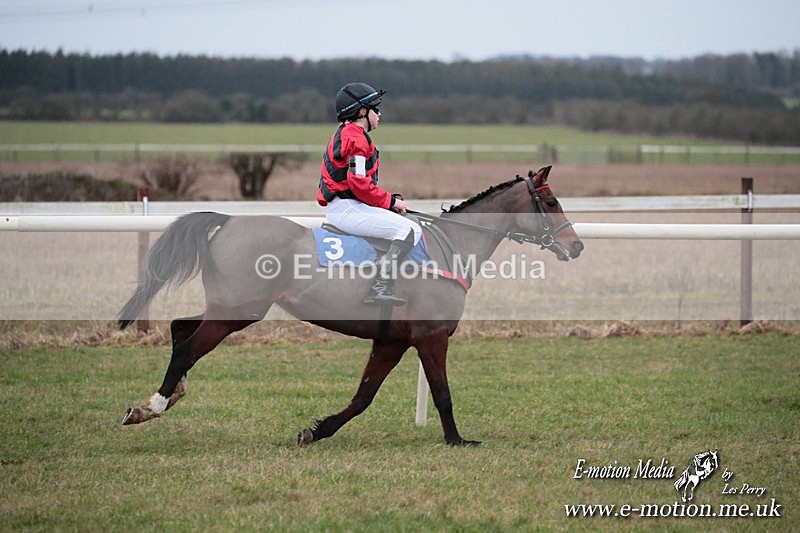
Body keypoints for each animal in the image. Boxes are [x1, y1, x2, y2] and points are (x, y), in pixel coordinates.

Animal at [117, 166, 583, 446]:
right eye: (552, 202)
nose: (576, 246)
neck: (451, 246)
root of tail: (230, 221)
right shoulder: (431, 337)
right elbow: (442, 393)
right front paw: (457, 440)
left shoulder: (392, 341)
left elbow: (364, 395)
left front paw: (318, 430)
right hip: (238, 312)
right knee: (186, 348)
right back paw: (151, 407)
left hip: (228, 309)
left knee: (180, 328)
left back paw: (167, 396)